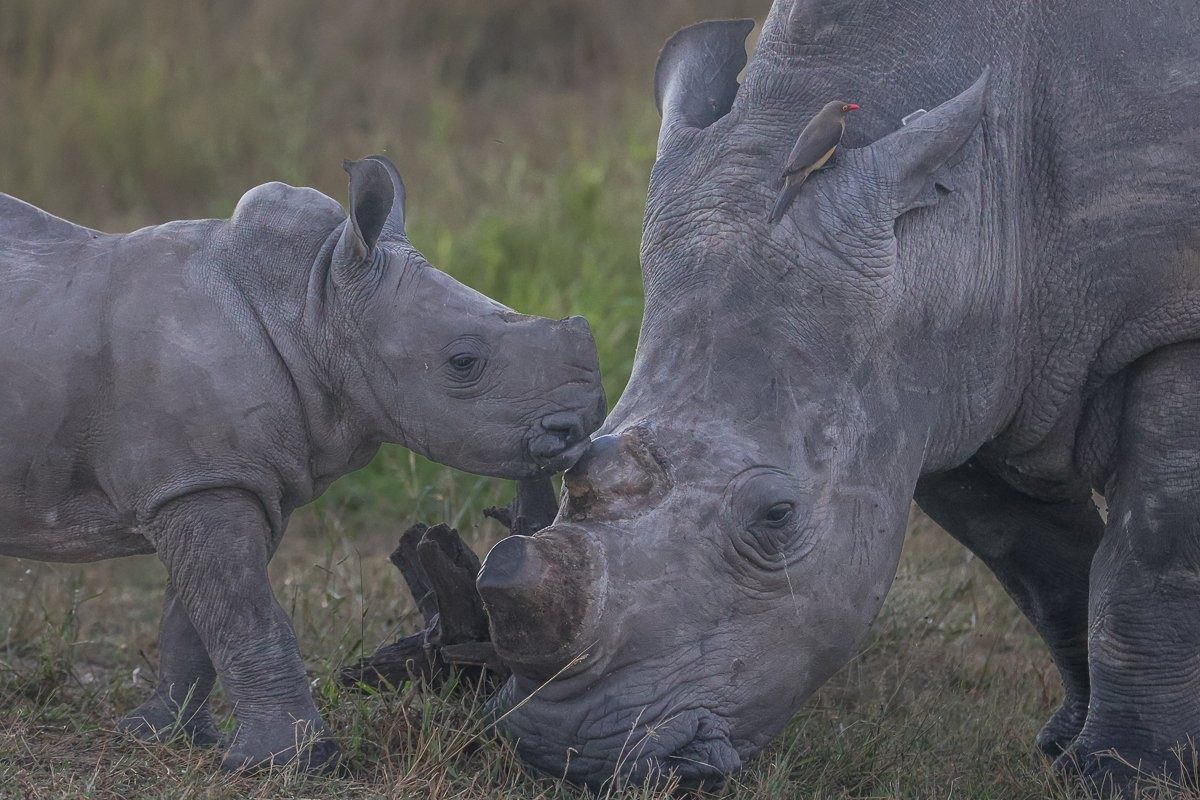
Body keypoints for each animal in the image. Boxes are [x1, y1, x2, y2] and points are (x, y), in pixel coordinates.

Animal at [0, 155, 604, 771]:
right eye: (463, 362)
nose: (578, 425)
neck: (311, 303)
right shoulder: (203, 482)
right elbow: (245, 614)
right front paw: (293, 762)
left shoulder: (224, 474)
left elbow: (199, 614)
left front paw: (162, 736)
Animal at [475, 0, 1200, 792]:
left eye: (777, 517)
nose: (562, 747)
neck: (965, 220)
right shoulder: (944, 378)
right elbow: (1038, 560)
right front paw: (1069, 749)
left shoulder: (1170, 327)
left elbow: (1154, 552)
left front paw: (1124, 777)